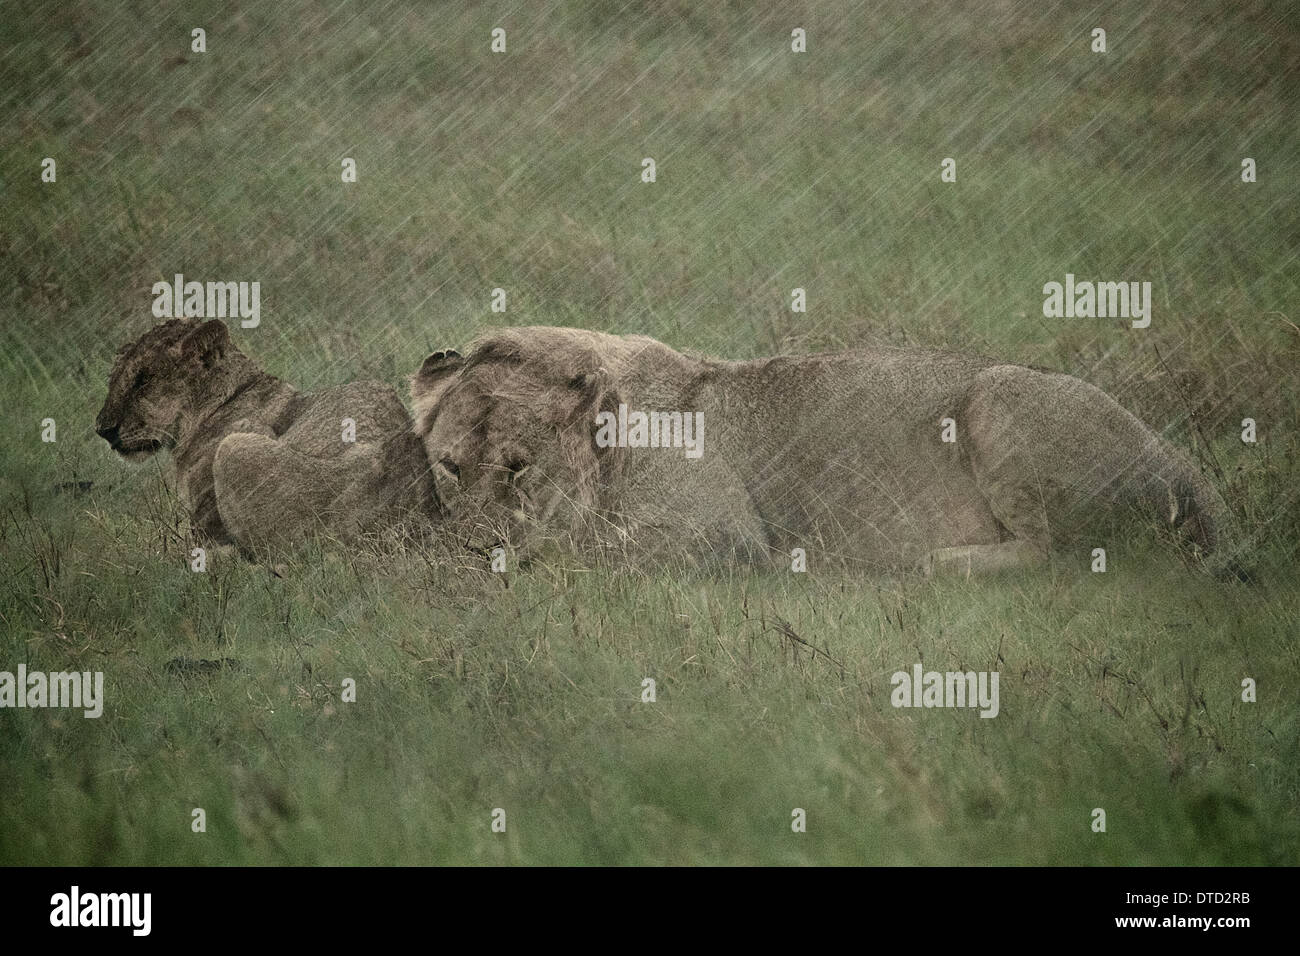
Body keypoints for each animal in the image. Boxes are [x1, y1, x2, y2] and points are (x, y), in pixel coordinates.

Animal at [410, 327, 1242, 574]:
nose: (471, 548)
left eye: (519, 469)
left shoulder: (725, 537)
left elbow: (589, 545)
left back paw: (921, 564)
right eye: (449, 467)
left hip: (1002, 395)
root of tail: (1192, 476)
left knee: (1065, 559)